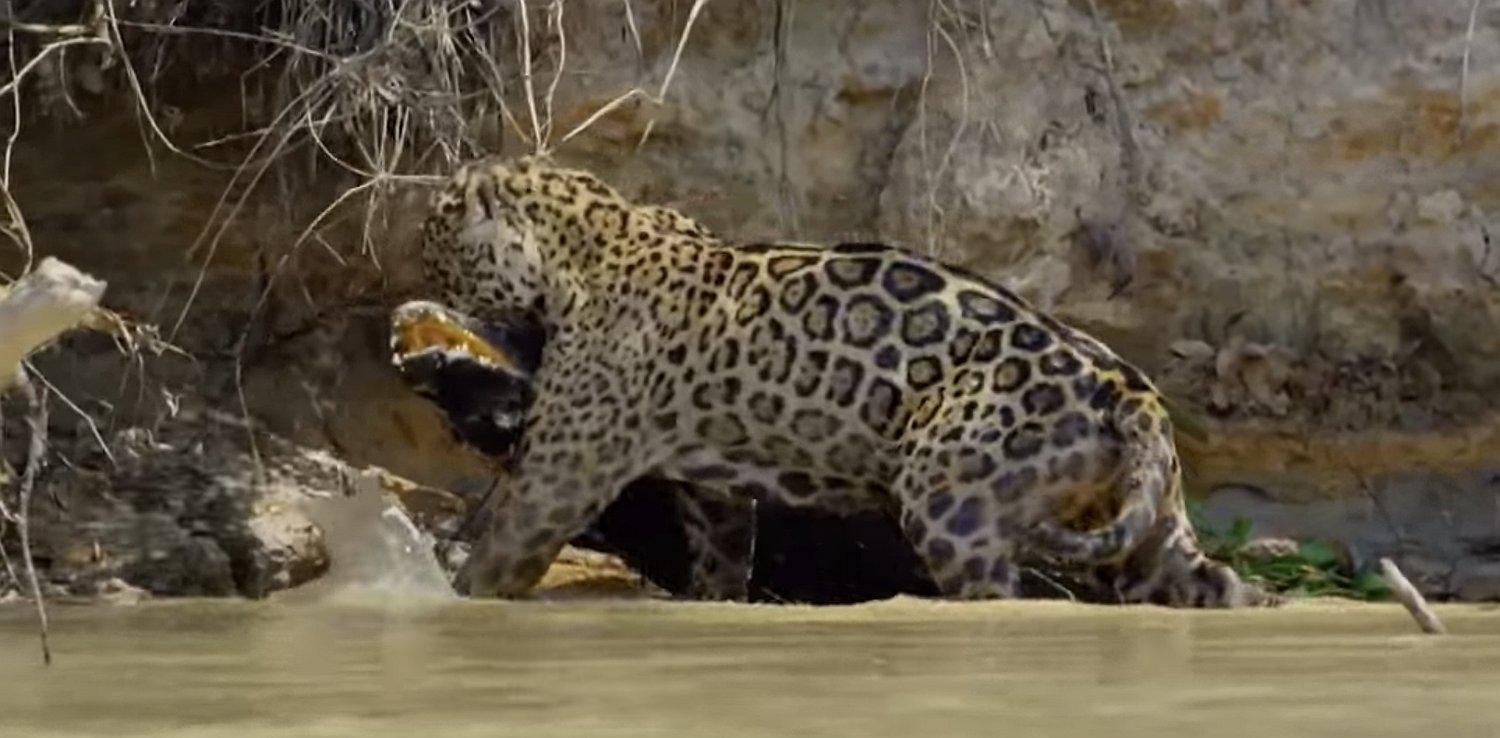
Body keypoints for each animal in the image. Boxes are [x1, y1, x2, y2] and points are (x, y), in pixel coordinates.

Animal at [418, 154, 1275, 607]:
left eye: (436, 249)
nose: (419, 279)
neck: (583, 247)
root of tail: (1130, 388)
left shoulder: (561, 472)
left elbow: (505, 549)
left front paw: (457, 597)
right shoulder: (711, 487)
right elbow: (722, 551)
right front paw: (713, 606)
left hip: (949, 496)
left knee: (998, 593)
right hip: (1151, 532)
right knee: (1214, 582)